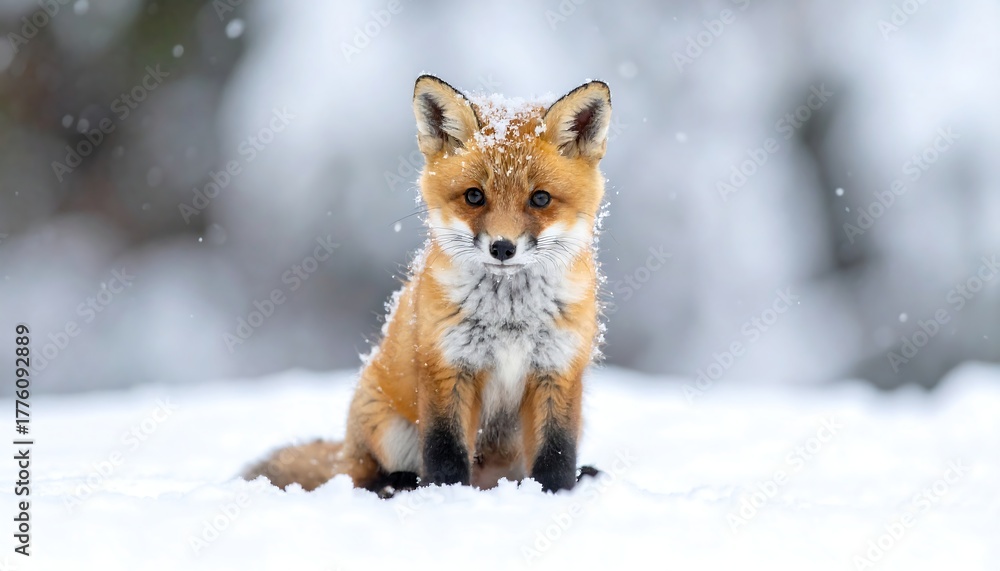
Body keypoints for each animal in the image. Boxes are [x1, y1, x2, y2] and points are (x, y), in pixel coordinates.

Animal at [243, 74, 612, 495]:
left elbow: (557, 454)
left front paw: (555, 494)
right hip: (386, 430)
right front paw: (445, 496)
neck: (509, 321)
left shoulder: (558, 370)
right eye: (474, 195)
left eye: (540, 198)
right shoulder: (445, 366)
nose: (502, 247)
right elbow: (445, 451)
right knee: (363, 478)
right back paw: (399, 483)